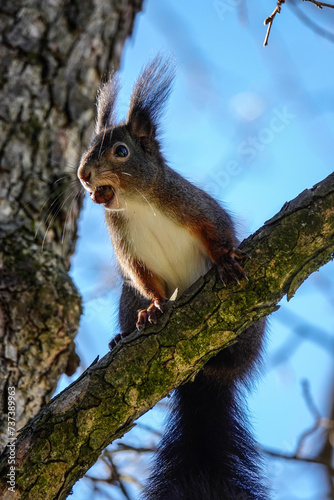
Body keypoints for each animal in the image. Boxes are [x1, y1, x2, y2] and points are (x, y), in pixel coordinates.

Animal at [77, 55, 268, 500]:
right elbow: (144, 278)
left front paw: (225, 260)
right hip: (124, 299)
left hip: (251, 330)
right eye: (88, 149)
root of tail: (200, 373)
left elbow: (217, 231)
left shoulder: (192, 204)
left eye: (121, 151)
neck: (136, 204)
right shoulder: (127, 250)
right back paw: (123, 334)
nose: (83, 175)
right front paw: (155, 308)